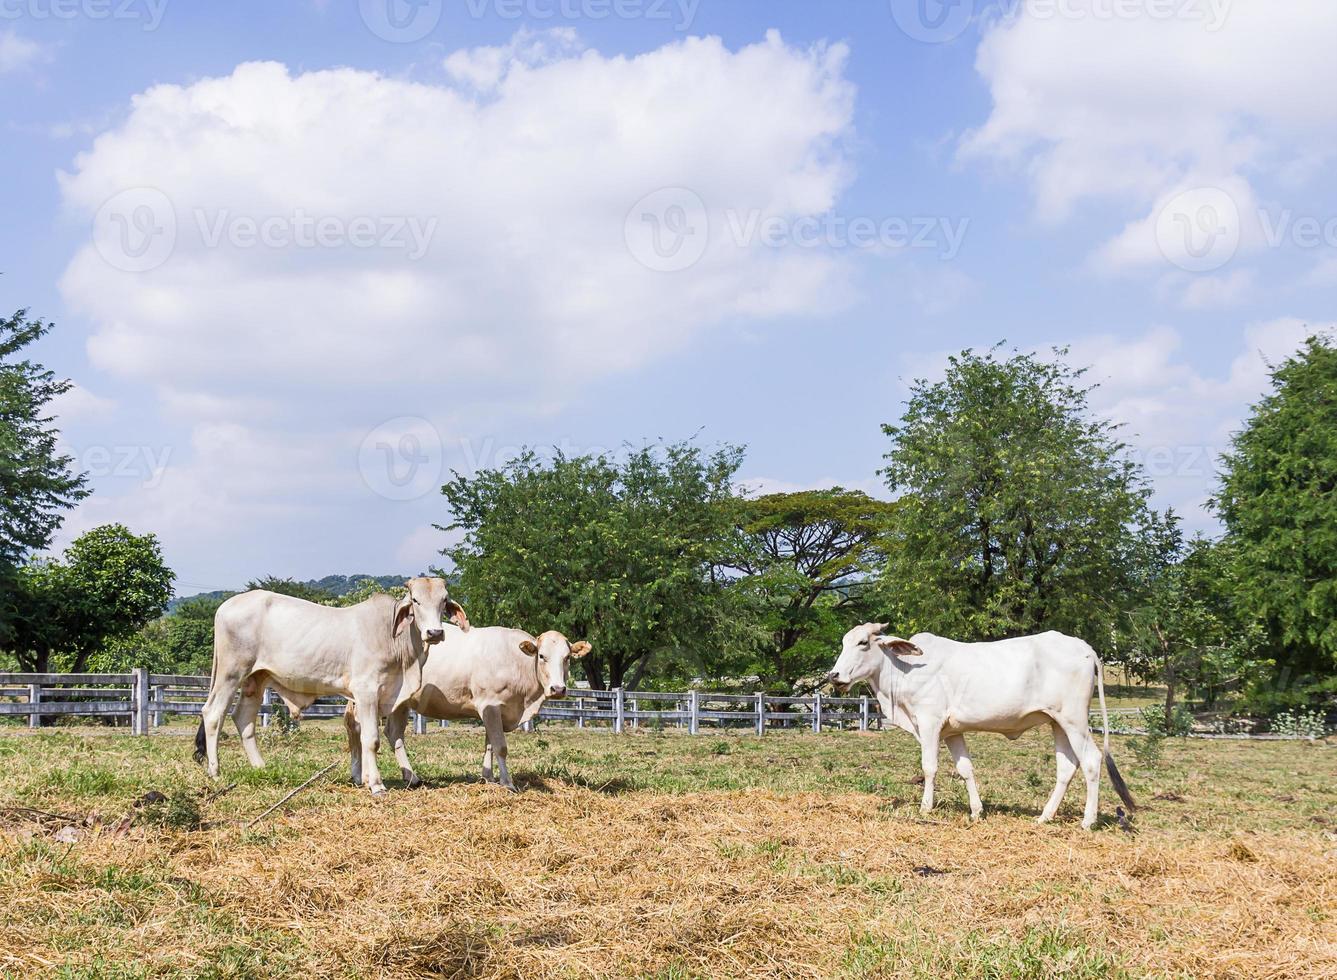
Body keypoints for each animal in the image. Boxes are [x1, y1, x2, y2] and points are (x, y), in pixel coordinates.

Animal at [193, 572, 470, 796]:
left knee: (243, 718)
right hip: (231, 672)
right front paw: (376, 784)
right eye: (415, 600)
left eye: (443, 601)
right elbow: (371, 738)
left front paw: (366, 778)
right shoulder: (366, 691)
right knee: (213, 714)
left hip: (256, 678)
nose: (435, 633)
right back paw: (215, 772)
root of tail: (226, 606)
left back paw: (261, 767)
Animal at [350, 625, 590, 786]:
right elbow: (500, 746)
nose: (558, 689)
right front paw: (507, 783)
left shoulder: (496, 710)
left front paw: (489, 778)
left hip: (401, 702)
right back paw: (363, 776)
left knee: (393, 733)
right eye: (541, 656)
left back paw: (411, 777)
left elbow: (490, 744)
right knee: (358, 729)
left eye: (567, 657)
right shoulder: (489, 704)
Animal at [818, 620, 1133, 823]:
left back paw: (1088, 820)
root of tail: (1084, 647)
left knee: (1091, 760)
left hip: (1074, 720)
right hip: (1057, 723)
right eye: (844, 642)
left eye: (863, 643)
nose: (834, 675)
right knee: (1067, 767)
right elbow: (965, 769)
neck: (904, 670)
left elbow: (929, 767)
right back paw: (1045, 816)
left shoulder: (929, 722)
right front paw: (977, 810)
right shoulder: (952, 732)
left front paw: (925, 807)